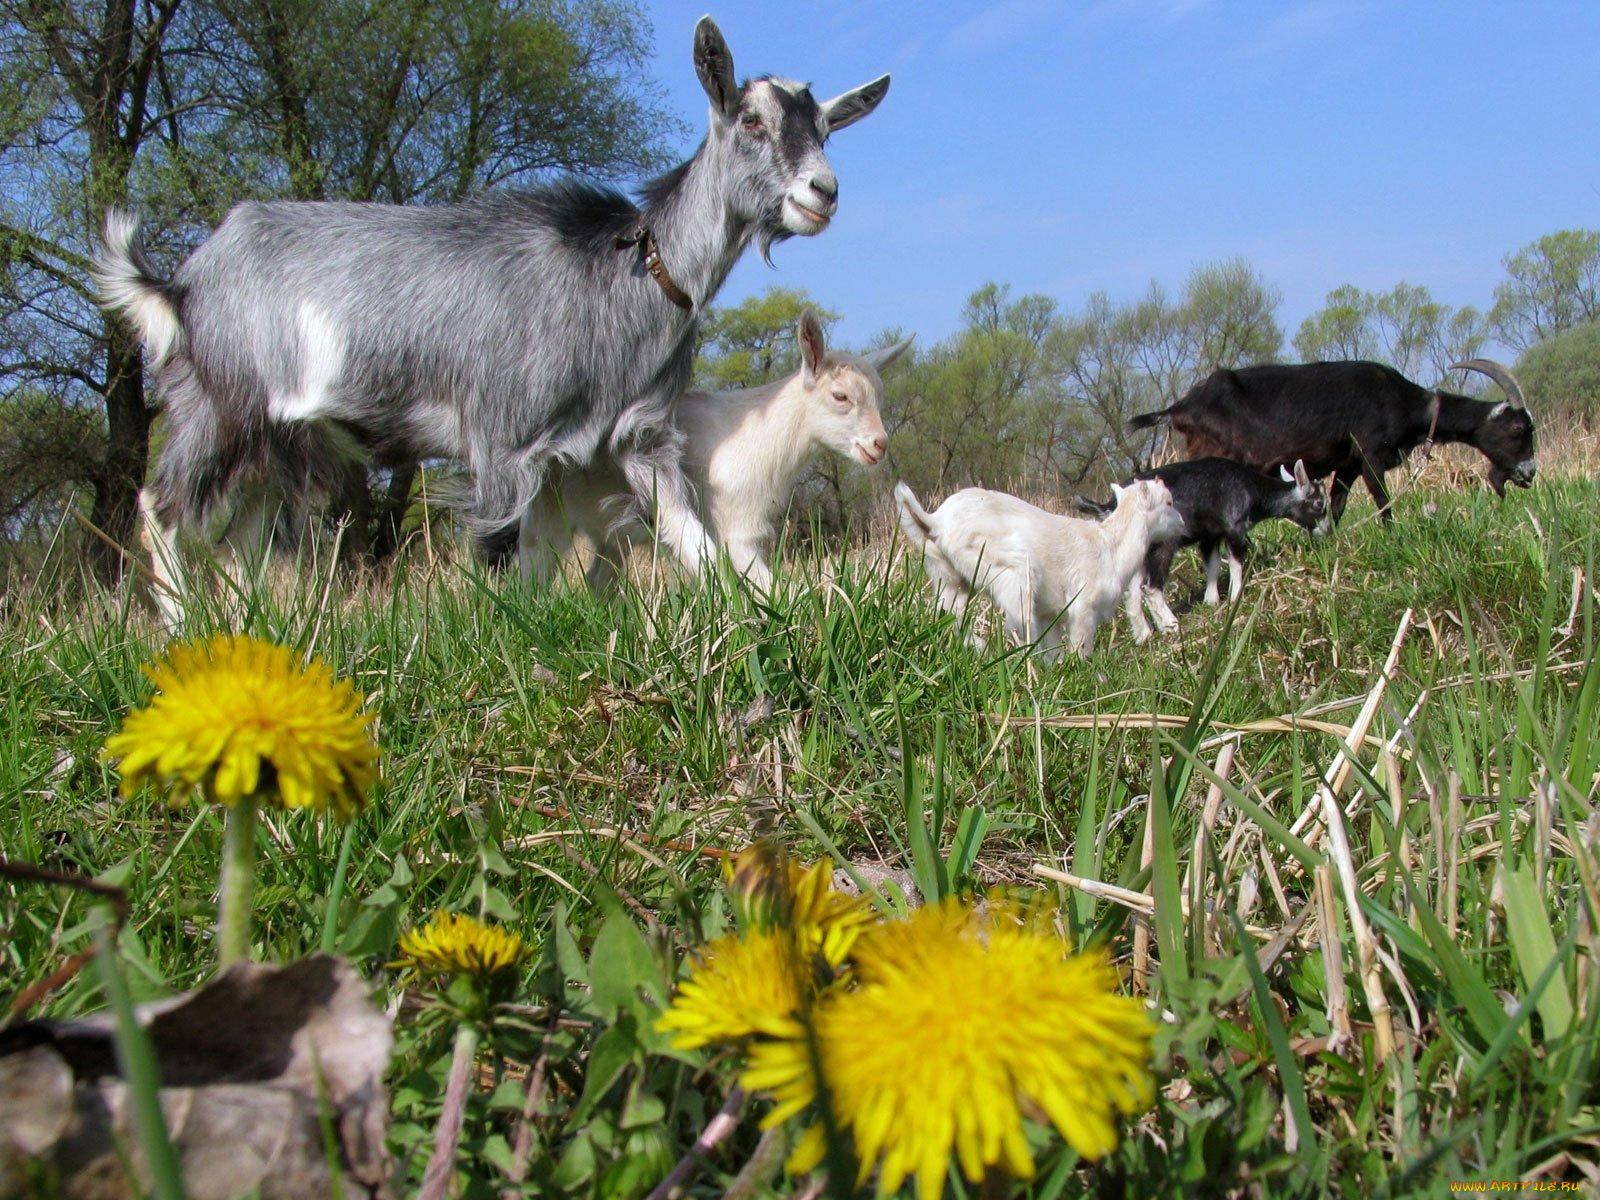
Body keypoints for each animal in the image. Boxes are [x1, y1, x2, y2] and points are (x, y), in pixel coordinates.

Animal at [95, 11, 896, 611]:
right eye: (751, 119)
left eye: (827, 129)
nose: (823, 192)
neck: (624, 277)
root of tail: (182, 282)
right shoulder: (504, 441)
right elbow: (506, 560)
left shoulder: (638, 436)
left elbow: (692, 542)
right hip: (216, 404)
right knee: (158, 505)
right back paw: (180, 624)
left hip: (283, 440)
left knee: (245, 540)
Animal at [1081, 454, 1331, 640]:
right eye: (1320, 504)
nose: (1328, 532)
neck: (1252, 488)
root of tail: (1109, 506)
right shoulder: (1234, 526)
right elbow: (1236, 563)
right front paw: (1235, 596)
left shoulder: (1211, 536)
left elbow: (1213, 565)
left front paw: (1211, 600)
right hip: (1164, 543)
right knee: (1151, 587)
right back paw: (1172, 625)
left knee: (1133, 592)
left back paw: (1147, 634)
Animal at [1132, 360, 1529, 524]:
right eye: (1517, 429)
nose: (1529, 473)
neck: (1406, 402)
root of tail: (1180, 406)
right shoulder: (1370, 455)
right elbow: (1383, 503)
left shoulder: (1348, 465)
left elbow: (1337, 506)